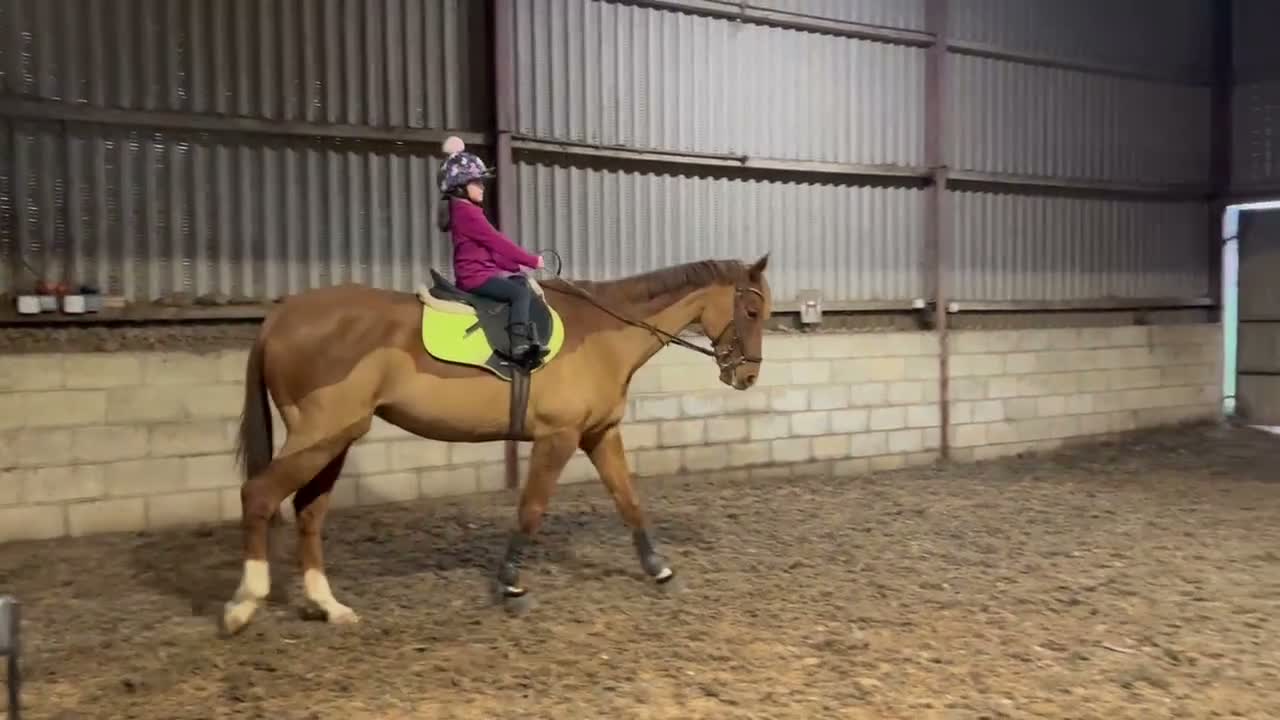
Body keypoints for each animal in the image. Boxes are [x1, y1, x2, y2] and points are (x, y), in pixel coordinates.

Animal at [221, 255, 772, 635]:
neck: (605, 331)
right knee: (259, 496)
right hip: (322, 433)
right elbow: (531, 509)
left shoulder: (599, 434)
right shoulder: (558, 437)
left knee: (309, 512)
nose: (746, 377)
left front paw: (661, 572)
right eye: (751, 309)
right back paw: (245, 603)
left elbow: (630, 502)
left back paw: (328, 606)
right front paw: (511, 586)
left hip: (336, 438)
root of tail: (280, 316)